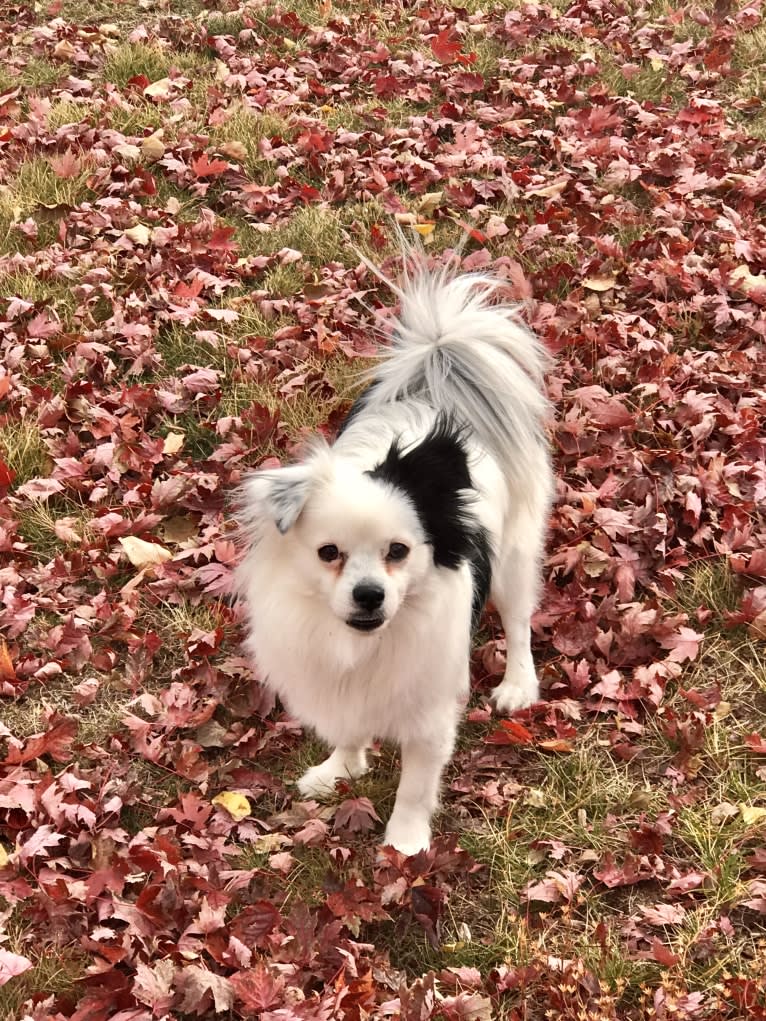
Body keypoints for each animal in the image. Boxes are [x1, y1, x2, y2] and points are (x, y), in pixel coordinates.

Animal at [233, 253, 551, 853]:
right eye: (328, 553)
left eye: (398, 551)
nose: (369, 595)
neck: (363, 648)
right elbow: (348, 732)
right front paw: (340, 770)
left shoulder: (429, 712)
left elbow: (416, 784)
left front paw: (405, 842)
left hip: (514, 559)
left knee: (519, 621)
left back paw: (517, 685)